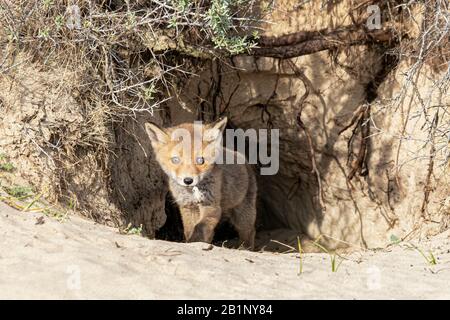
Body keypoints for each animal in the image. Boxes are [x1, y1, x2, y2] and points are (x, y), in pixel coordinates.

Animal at [145, 118, 256, 250]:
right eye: (175, 160)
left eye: (200, 160)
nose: (188, 180)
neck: (192, 191)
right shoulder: (188, 207)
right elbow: (190, 230)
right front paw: (192, 242)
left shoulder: (210, 205)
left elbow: (199, 227)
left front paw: (196, 242)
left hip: (242, 214)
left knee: (249, 232)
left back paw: (246, 248)